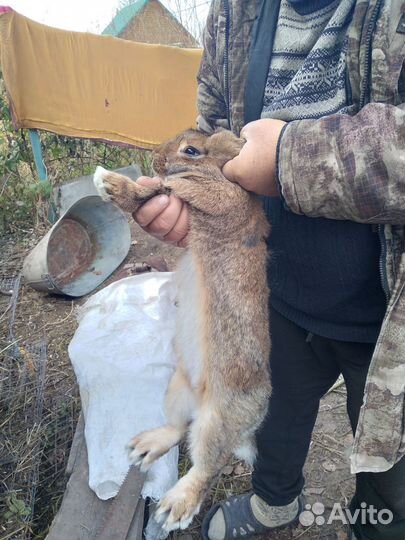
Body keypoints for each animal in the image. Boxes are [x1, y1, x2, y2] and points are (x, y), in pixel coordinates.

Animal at [92, 127, 270, 532]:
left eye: (191, 150)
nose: (156, 158)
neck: (214, 173)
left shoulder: (212, 197)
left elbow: (161, 189)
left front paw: (107, 182)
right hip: (176, 388)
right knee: (177, 429)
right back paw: (144, 447)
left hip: (216, 422)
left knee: (205, 465)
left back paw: (174, 509)